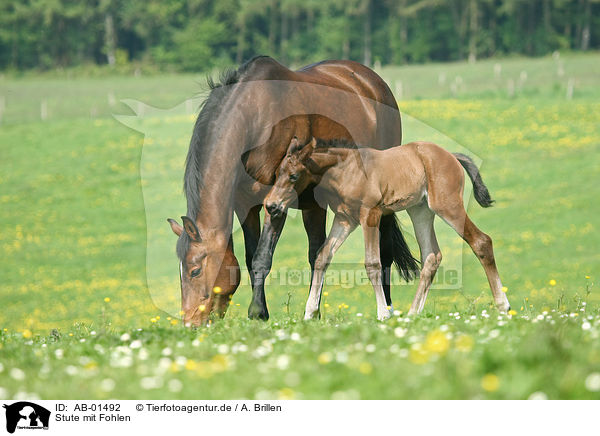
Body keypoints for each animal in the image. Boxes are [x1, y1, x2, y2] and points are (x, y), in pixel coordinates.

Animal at [164, 54, 418, 326]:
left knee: (384, 250)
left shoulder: (276, 204)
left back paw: (387, 308)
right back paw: (315, 311)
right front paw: (263, 311)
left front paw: (257, 313)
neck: (255, 117)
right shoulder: (245, 205)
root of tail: (373, 82)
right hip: (313, 205)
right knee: (316, 253)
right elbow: (251, 257)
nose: (190, 324)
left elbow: (262, 258)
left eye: (195, 270)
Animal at [268, 138, 510, 322]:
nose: (271, 205)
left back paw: (503, 306)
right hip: (420, 211)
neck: (347, 171)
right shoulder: (345, 219)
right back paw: (413, 314)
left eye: (293, 176)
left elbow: (372, 263)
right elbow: (322, 256)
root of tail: (451, 155)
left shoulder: (370, 215)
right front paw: (310, 313)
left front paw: (383, 314)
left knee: (481, 241)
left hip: (447, 206)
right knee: (431, 256)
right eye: (277, 172)